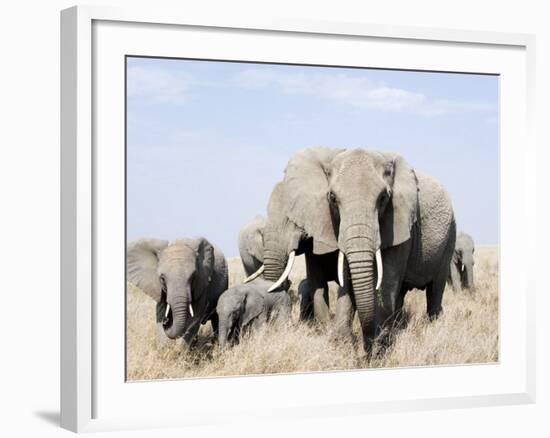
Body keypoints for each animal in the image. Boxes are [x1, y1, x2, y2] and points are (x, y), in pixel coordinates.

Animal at [252, 147, 454, 352]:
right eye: (332, 198)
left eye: (383, 198)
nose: (366, 344)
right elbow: (328, 281)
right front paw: (339, 341)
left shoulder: (400, 221)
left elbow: (387, 278)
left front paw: (376, 348)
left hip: (449, 238)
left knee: (434, 291)